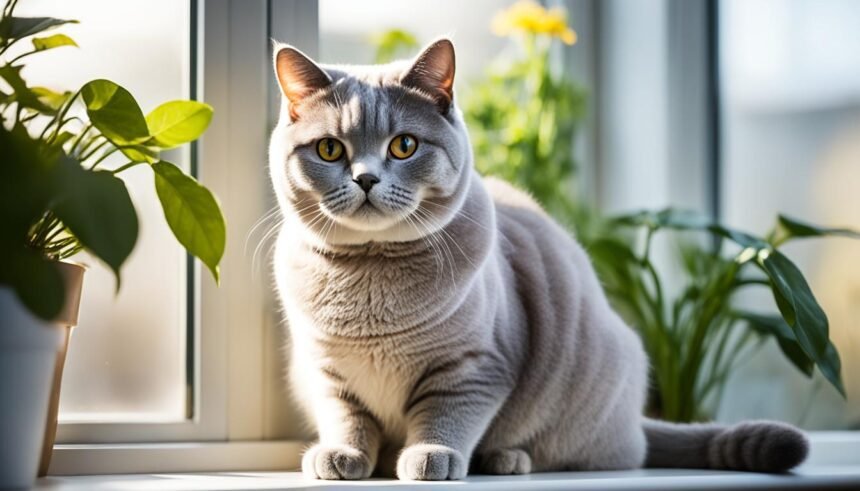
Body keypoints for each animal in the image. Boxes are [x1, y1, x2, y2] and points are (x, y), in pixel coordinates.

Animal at [268, 37, 808, 480]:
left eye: (403, 145)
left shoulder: (477, 365)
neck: (370, 276)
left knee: (580, 454)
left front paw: (431, 457)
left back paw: (506, 459)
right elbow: (347, 419)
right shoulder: (327, 373)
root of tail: (637, 424)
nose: (364, 178)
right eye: (330, 149)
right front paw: (343, 457)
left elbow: (446, 415)